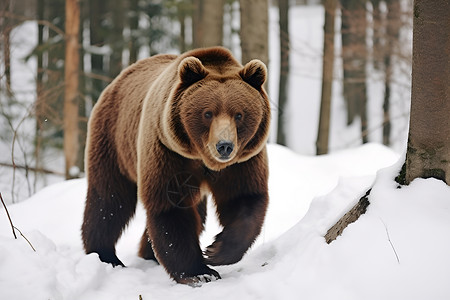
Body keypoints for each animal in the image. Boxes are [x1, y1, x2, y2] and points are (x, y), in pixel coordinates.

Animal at [81, 47, 270, 286]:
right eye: (207, 113)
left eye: (239, 114)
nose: (224, 146)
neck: (202, 159)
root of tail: (118, 79)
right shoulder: (168, 152)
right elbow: (171, 206)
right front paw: (200, 272)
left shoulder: (242, 162)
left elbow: (244, 198)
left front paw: (215, 251)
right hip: (114, 139)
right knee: (110, 199)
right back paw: (105, 255)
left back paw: (148, 254)